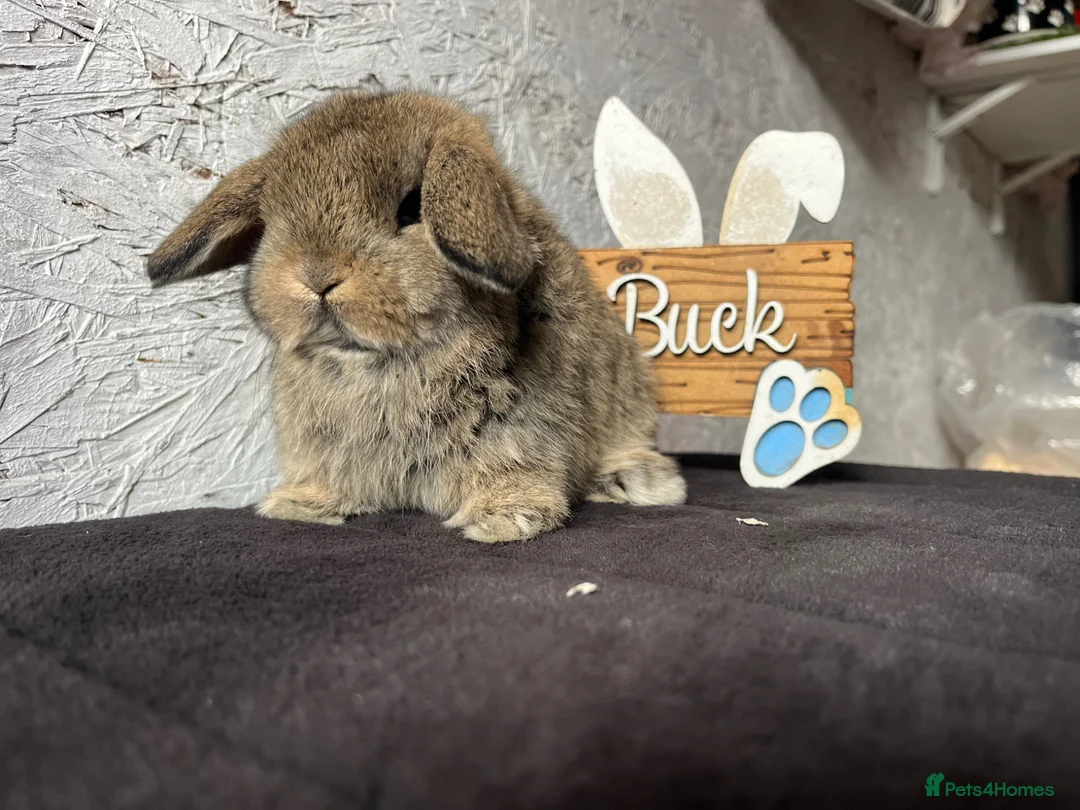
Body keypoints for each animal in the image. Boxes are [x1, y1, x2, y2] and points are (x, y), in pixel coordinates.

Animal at [146, 91, 686, 542]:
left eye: (411, 208)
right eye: (269, 221)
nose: (317, 275)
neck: (378, 363)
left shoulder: (523, 423)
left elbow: (514, 466)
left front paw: (502, 520)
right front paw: (299, 504)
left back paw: (641, 480)